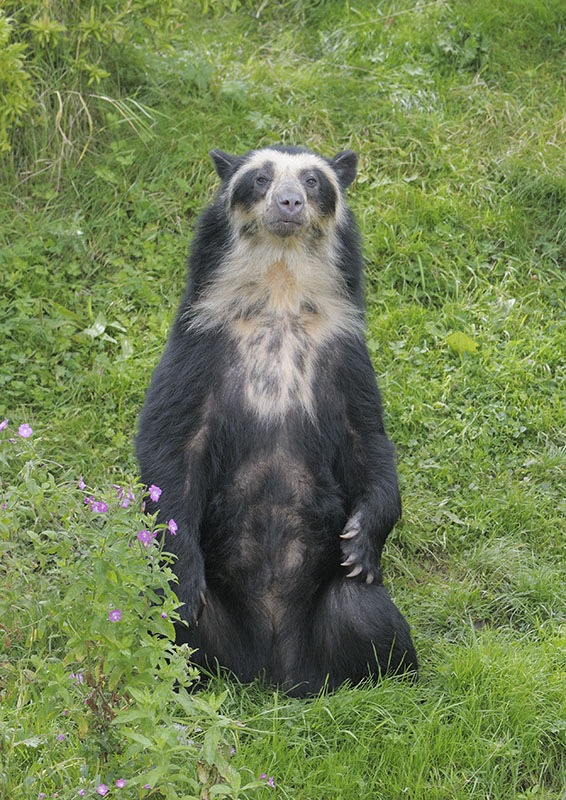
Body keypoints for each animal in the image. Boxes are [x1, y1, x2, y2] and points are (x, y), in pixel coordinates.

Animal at [136, 145, 417, 696]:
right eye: (260, 179)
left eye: (313, 181)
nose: (288, 204)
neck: (280, 290)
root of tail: (271, 674)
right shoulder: (199, 341)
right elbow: (169, 442)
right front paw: (184, 573)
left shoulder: (346, 353)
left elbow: (369, 442)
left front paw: (360, 543)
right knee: (172, 629)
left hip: (336, 614)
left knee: (368, 614)